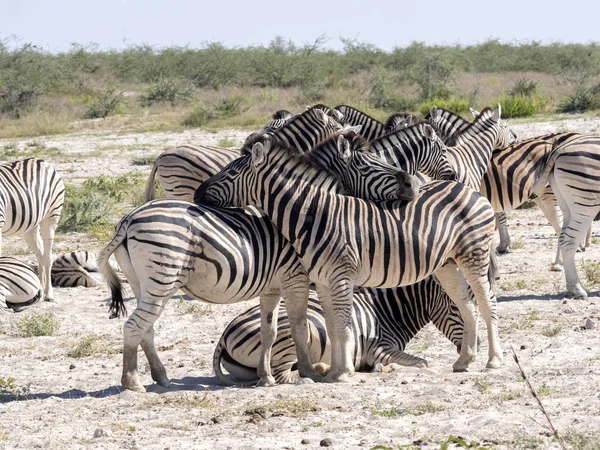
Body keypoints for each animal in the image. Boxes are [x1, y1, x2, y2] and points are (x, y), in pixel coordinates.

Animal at [0, 156, 64, 300]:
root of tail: (40, 160)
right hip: (31, 225)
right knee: (40, 253)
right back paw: (40, 290)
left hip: (51, 215)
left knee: (47, 256)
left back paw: (49, 294)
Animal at [98, 130, 418, 390]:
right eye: (368, 164)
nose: (411, 185)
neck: (309, 216)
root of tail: (128, 219)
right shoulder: (297, 279)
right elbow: (300, 325)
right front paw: (309, 372)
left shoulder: (272, 286)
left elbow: (270, 331)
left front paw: (266, 377)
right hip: (162, 280)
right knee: (134, 326)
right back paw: (133, 382)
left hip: (143, 283)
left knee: (146, 328)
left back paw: (161, 377)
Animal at [216, 280, 468, 384]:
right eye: (455, 308)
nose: (467, 348)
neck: (386, 311)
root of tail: (225, 333)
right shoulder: (378, 348)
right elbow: (421, 363)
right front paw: (385, 368)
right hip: (291, 332)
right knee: (281, 374)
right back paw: (313, 376)